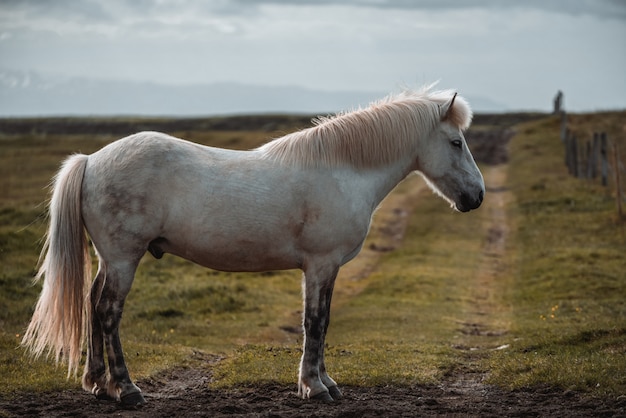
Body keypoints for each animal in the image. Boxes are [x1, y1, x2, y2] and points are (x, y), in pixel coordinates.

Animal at [20, 86, 482, 406]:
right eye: (456, 142)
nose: (476, 196)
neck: (341, 170)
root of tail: (92, 160)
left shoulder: (326, 269)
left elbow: (323, 322)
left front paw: (325, 383)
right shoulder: (320, 265)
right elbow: (315, 322)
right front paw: (315, 388)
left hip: (109, 259)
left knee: (92, 304)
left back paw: (98, 384)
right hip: (122, 258)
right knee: (107, 311)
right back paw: (126, 389)